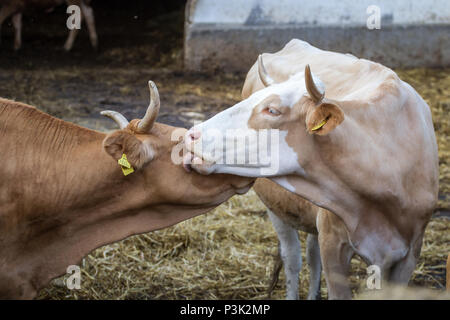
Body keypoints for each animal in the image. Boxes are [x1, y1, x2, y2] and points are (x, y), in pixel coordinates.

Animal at [184, 39, 440, 298]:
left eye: (272, 110)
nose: (192, 134)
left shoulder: (410, 253)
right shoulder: (332, 243)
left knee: (310, 254)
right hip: (276, 208)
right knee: (292, 258)